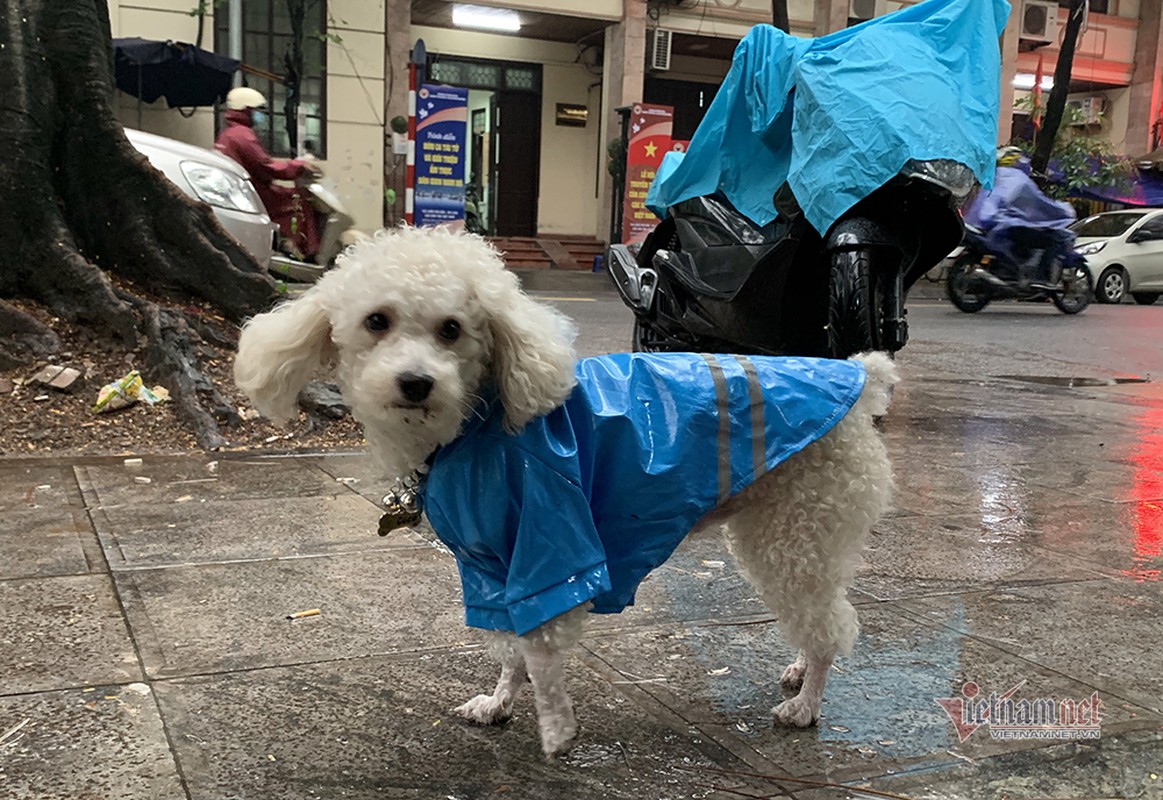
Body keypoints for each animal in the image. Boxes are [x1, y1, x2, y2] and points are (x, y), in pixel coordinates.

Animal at [231, 223, 893, 758]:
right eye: (376, 321)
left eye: (452, 329)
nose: (416, 383)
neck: (478, 420)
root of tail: (860, 375)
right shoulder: (488, 567)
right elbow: (508, 648)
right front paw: (499, 704)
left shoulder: (551, 545)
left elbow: (539, 650)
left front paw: (555, 730)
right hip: (802, 538)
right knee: (819, 612)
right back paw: (798, 670)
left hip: (795, 531)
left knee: (829, 623)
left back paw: (806, 705)